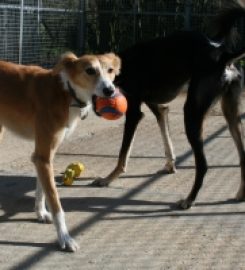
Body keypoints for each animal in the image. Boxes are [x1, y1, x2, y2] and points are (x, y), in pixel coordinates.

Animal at [0, 52, 121, 251]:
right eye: (90, 70)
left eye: (110, 70)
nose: (110, 91)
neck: (66, 93)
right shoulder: (43, 157)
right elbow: (56, 203)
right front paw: (65, 237)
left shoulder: (43, 156)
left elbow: (41, 190)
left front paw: (40, 213)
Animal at [93, 2, 245, 209]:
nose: (95, 110)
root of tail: (222, 56)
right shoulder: (157, 107)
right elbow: (165, 134)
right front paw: (170, 165)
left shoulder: (134, 113)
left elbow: (123, 154)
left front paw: (109, 178)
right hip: (231, 115)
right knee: (243, 156)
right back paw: (241, 194)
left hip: (192, 112)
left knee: (203, 164)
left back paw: (189, 199)